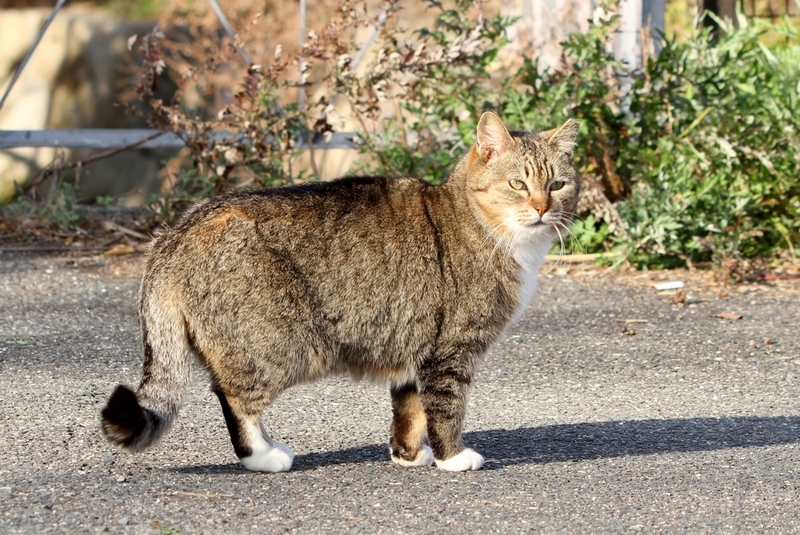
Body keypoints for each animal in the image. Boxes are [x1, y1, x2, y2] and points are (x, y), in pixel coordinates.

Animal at [100, 112, 580, 474]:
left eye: (557, 185)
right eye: (518, 184)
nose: (542, 207)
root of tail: (173, 234)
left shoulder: (414, 344)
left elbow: (410, 410)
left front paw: (408, 455)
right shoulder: (450, 351)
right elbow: (445, 409)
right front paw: (452, 457)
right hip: (279, 346)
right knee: (232, 396)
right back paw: (262, 456)